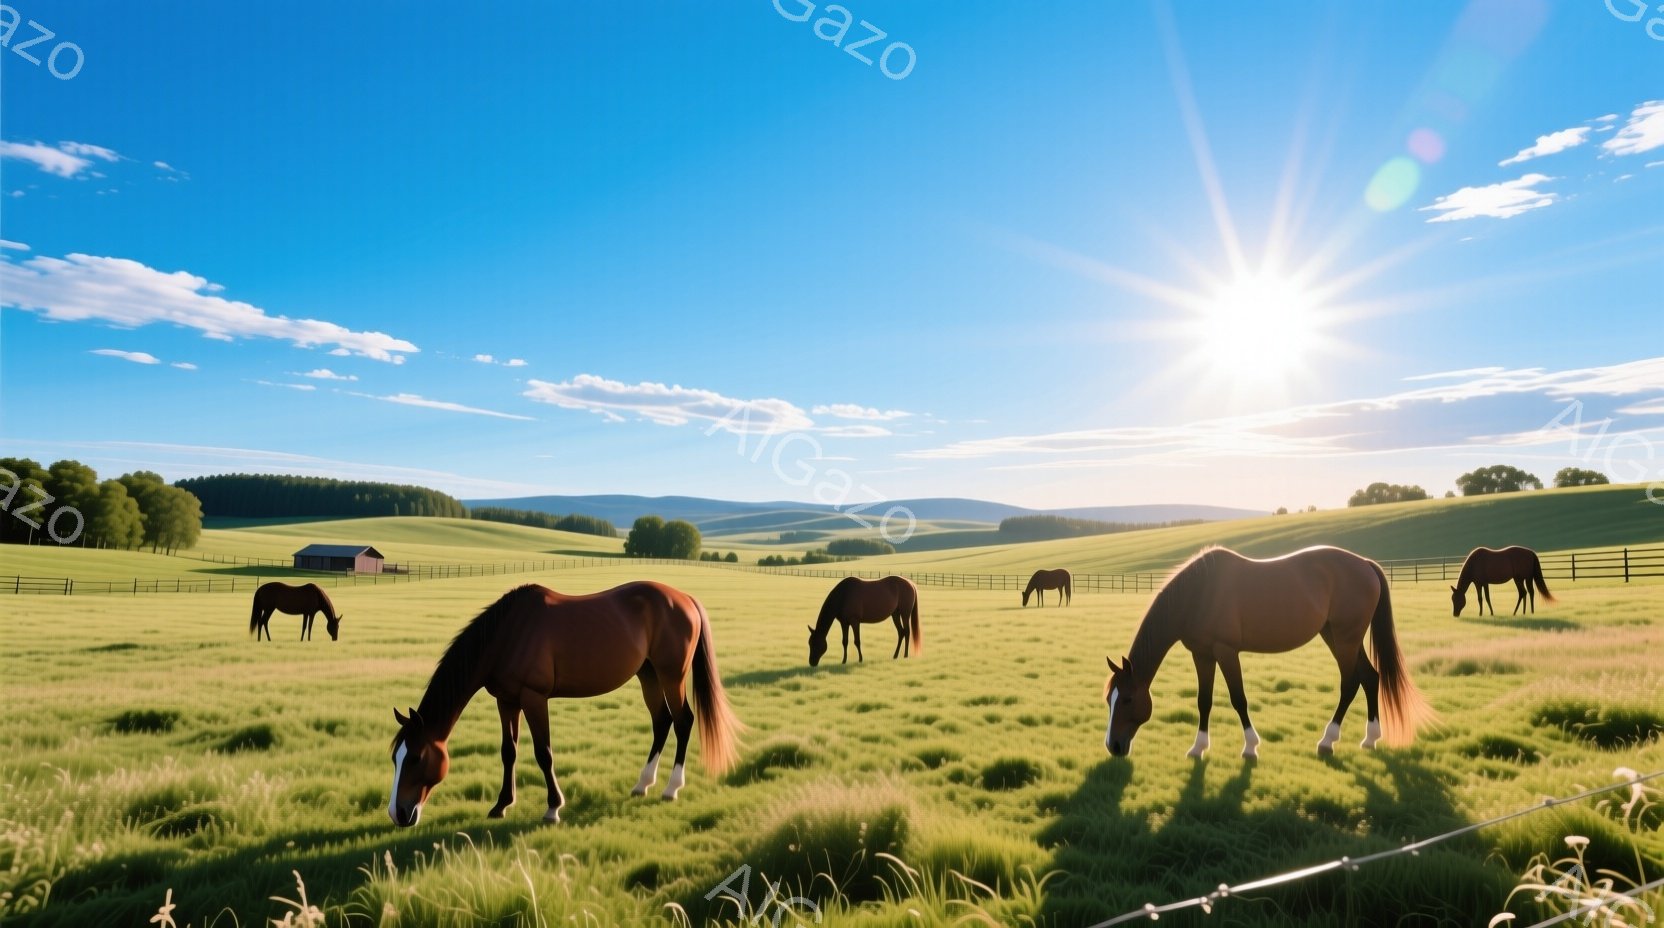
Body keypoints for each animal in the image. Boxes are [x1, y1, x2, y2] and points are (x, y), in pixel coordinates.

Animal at [388, 581, 741, 827]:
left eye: (417, 758)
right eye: (396, 758)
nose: (398, 813)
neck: (508, 634)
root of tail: (684, 599)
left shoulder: (534, 698)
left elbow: (543, 753)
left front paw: (553, 807)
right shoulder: (506, 701)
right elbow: (508, 752)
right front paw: (502, 805)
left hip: (671, 675)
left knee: (682, 721)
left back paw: (671, 788)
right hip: (649, 674)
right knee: (662, 721)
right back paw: (643, 784)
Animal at [1102, 546, 1430, 760]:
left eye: (1128, 699)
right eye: (1109, 699)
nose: (1113, 746)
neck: (1198, 593)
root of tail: (1364, 564)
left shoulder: (1226, 651)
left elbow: (1239, 699)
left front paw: (1250, 747)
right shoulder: (1202, 654)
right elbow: (1204, 701)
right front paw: (1198, 748)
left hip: (1346, 638)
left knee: (1349, 684)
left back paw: (1327, 741)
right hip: (1336, 636)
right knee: (1370, 677)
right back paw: (1370, 739)